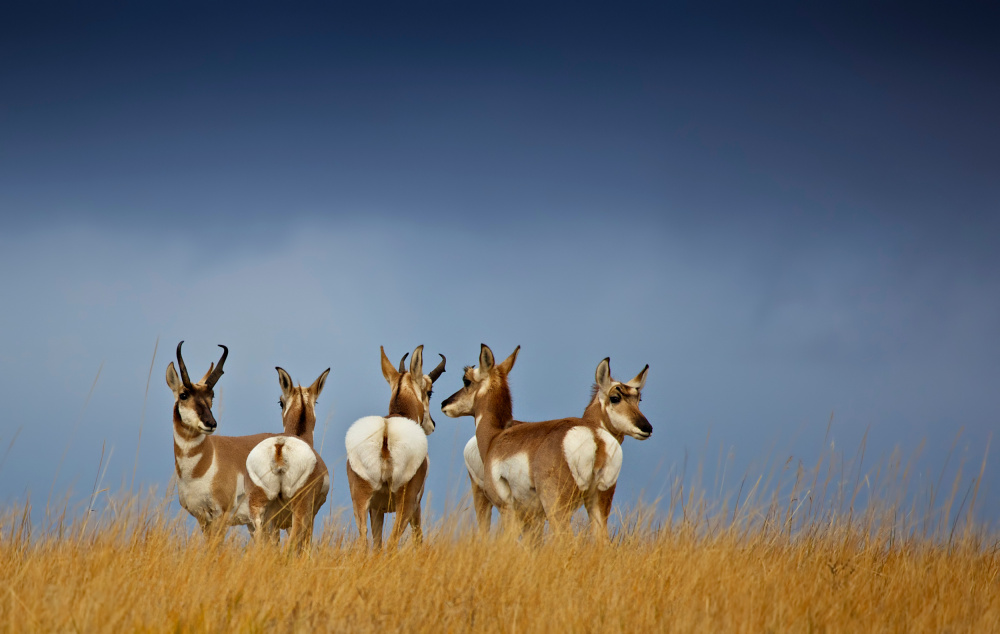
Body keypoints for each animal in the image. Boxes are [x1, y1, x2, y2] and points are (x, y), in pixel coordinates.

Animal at [348, 346, 446, 548]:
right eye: (430, 392)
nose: (432, 424)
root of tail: (386, 432)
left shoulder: (376, 509)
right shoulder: (416, 505)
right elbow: (418, 537)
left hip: (361, 501)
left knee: (364, 541)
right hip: (405, 504)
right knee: (393, 541)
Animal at [442, 346, 644, 540]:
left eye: (466, 380)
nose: (445, 403)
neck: (495, 437)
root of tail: (594, 435)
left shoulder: (508, 510)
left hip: (554, 509)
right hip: (599, 502)